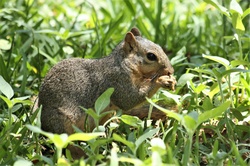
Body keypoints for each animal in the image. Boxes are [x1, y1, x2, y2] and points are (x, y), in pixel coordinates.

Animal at [38, 27, 176, 134]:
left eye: (160, 47)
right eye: (151, 56)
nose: (171, 70)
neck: (123, 64)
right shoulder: (116, 81)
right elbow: (128, 99)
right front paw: (161, 80)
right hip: (60, 120)